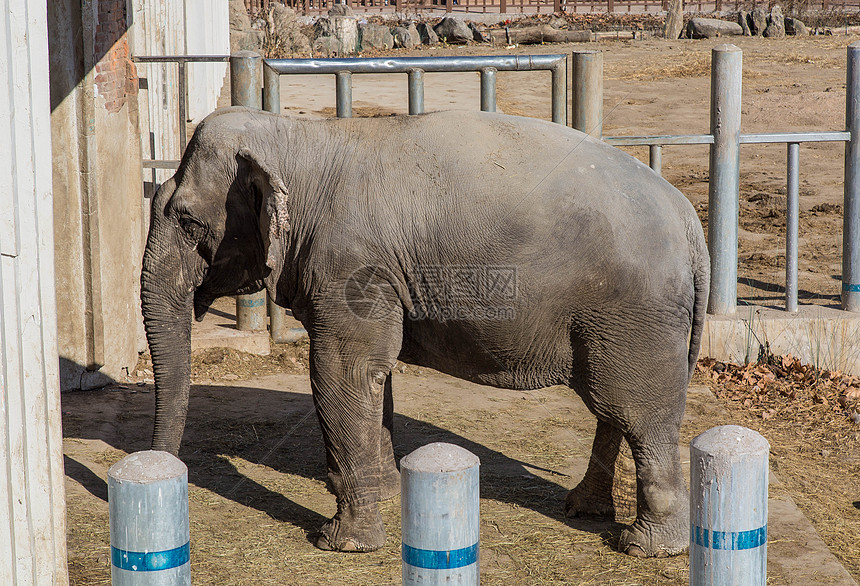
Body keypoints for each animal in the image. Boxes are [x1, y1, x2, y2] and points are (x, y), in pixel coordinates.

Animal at [139, 105, 704, 556]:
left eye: (187, 222)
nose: (165, 471)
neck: (297, 136)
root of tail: (689, 220)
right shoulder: (374, 280)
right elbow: (374, 373)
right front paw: (388, 491)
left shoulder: (351, 268)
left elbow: (340, 373)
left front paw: (342, 543)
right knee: (611, 407)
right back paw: (584, 509)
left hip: (633, 312)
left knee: (639, 414)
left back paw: (647, 547)